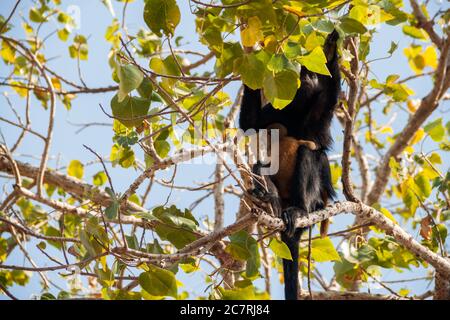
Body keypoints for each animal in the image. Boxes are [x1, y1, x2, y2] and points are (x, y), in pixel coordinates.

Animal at [239, 30, 338, 300]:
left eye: (312, 74)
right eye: (304, 74)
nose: (310, 77)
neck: (296, 117)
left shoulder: (316, 118)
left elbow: (328, 98)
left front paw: (332, 49)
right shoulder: (278, 110)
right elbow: (250, 124)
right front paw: (249, 55)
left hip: (314, 201)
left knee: (308, 153)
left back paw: (299, 210)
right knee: (260, 166)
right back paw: (268, 200)